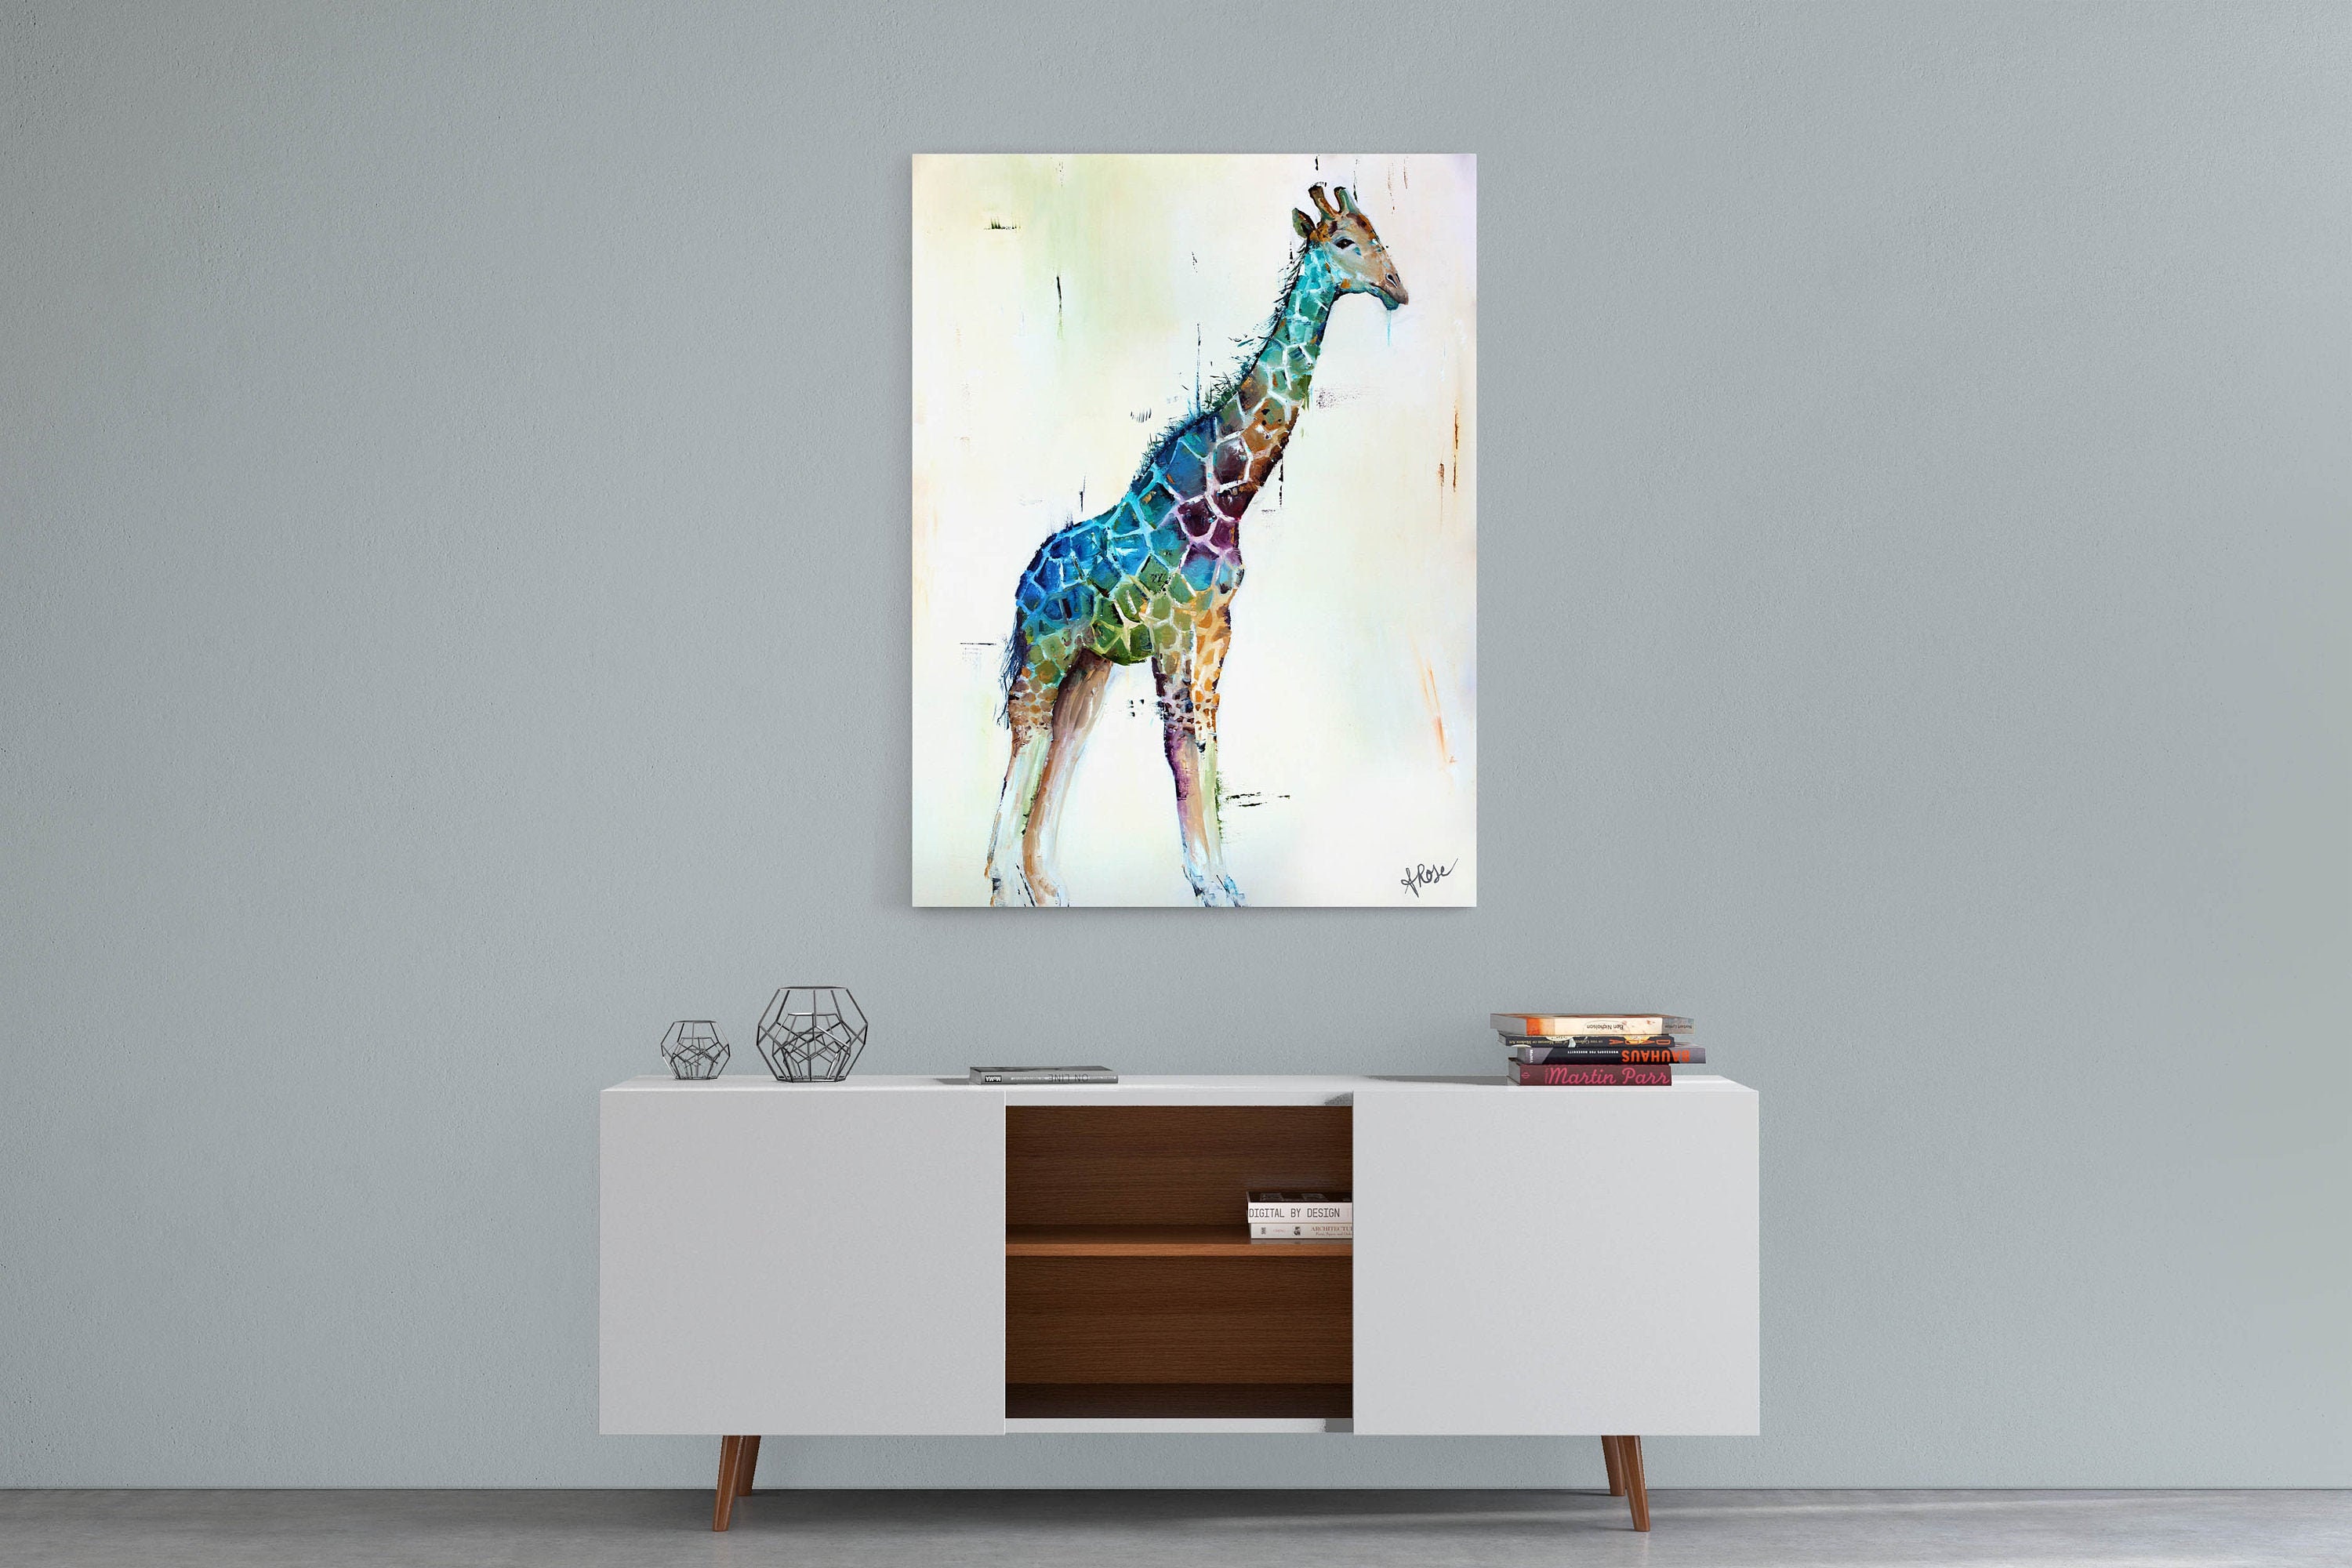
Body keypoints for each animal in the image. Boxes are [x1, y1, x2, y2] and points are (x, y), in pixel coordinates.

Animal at [985, 183, 1408, 907]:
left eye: (1378, 235)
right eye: (1345, 241)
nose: (1397, 288)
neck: (1223, 499)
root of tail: (1023, 582)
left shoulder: (1215, 632)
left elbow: (1206, 744)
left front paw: (1225, 884)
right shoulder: (1178, 635)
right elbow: (1183, 747)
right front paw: (1208, 885)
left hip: (1088, 668)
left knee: (1063, 743)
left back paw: (1049, 888)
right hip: (1045, 654)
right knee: (1027, 734)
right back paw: (1005, 884)